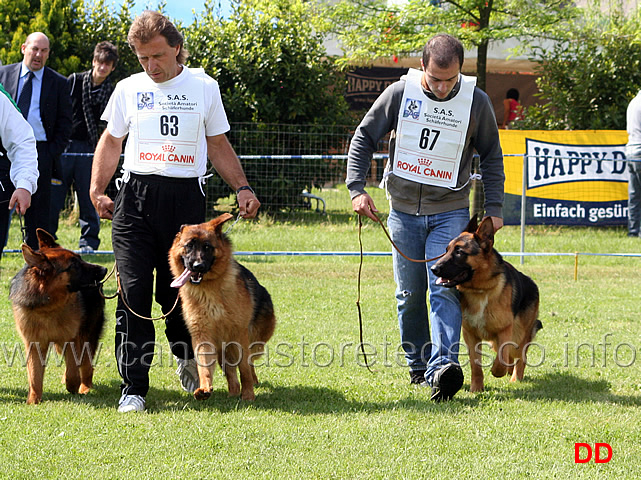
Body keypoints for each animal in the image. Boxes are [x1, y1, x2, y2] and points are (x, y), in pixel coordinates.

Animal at [9, 231, 106, 404]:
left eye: (80, 258)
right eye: (74, 265)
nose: (104, 269)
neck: (48, 307)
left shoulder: (71, 340)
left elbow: (73, 372)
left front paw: (73, 387)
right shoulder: (34, 345)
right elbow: (34, 376)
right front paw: (33, 401)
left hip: (86, 336)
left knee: (87, 365)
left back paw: (85, 387)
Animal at [168, 214, 276, 402]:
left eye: (207, 247)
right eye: (189, 246)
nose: (197, 266)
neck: (208, 290)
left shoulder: (239, 334)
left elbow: (244, 369)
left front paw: (248, 394)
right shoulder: (203, 335)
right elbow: (204, 367)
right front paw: (205, 388)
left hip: (254, 341)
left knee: (249, 362)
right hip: (224, 348)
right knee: (230, 371)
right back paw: (233, 392)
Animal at [430, 218, 540, 394]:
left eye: (459, 252)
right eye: (446, 250)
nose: (433, 269)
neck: (480, 290)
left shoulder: (504, 330)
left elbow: (502, 358)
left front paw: (497, 371)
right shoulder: (470, 335)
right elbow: (475, 365)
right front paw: (476, 388)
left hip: (519, 335)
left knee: (520, 356)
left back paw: (515, 377)